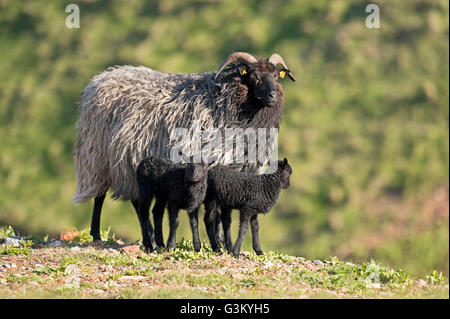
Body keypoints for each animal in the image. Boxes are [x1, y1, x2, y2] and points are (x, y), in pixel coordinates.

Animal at [71, 52, 296, 242]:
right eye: (254, 76)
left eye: (276, 76)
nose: (272, 96)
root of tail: (99, 80)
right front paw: (219, 242)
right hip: (99, 155)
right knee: (101, 196)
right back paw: (96, 234)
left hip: (129, 161)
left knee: (137, 201)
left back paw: (151, 236)